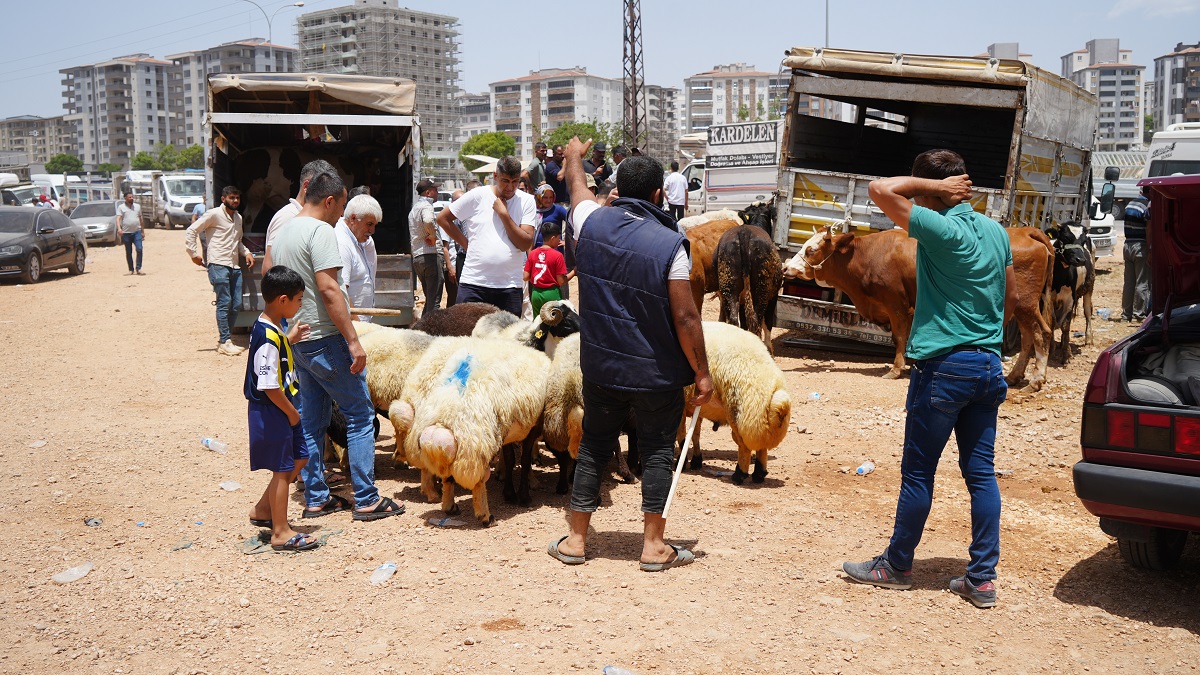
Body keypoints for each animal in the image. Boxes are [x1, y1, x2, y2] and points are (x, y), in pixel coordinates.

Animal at [681, 321, 792, 482]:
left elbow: (681, 436)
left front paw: (681, 463)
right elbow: (695, 433)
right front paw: (696, 461)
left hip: (742, 416)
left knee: (744, 447)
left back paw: (739, 475)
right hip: (758, 422)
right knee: (762, 448)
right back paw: (759, 474)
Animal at [782, 224, 1056, 389]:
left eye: (811, 249)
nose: (785, 267)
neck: (869, 255)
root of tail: (1026, 231)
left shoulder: (897, 305)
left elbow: (901, 336)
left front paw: (896, 368)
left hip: (1027, 303)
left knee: (1042, 334)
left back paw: (1036, 379)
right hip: (1022, 308)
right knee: (1029, 337)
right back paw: (1015, 375)